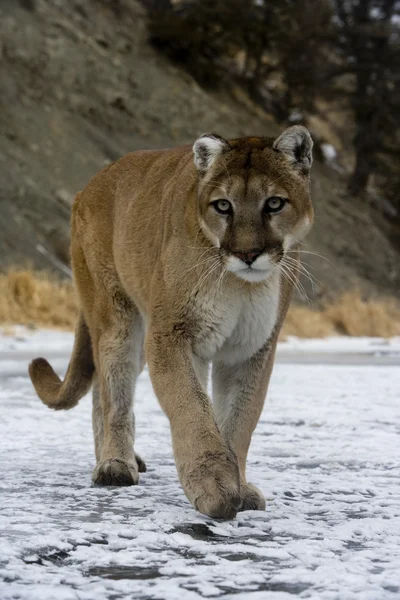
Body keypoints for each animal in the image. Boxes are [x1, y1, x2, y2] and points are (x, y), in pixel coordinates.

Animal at [29, 126, 314, 520]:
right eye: (223, 205)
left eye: (273, 203)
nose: (247, 254)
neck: (239, 284)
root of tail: (89, 186)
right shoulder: (172, 334)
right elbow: (191, 407)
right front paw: (213, 485)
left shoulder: (251, 349)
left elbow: (239, 419)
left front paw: (240, 486)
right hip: (118, 318)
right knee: (113, 392)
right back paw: (115, 465)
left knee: (101, 387)